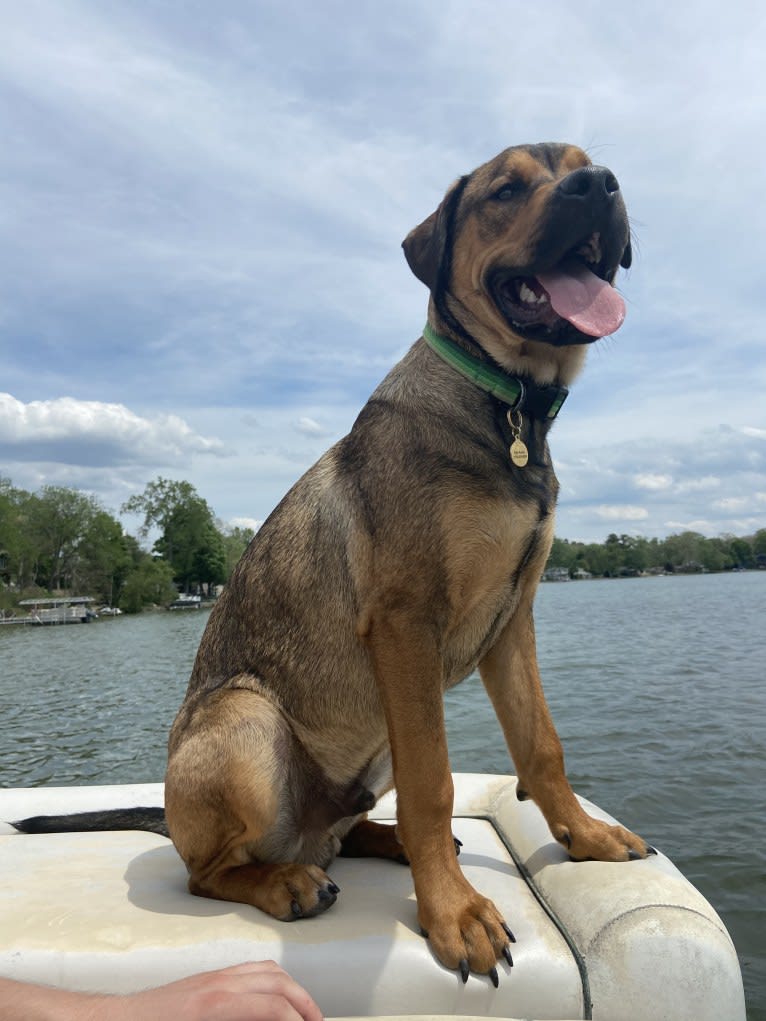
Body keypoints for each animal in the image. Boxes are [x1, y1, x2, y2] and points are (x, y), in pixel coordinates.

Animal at [15, 141, 653, 980]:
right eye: (506, 190)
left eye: (586, 165)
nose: (599, 185)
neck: (506, 401)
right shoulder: (406, 622)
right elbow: (434, 779)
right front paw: (456, 914)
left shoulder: (512, 620)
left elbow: (540, 745)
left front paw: (587, 837)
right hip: (248, 720)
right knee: (208, 872)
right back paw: (287, 881)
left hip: (368, 749)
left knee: (343, 833)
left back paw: (379, 843)